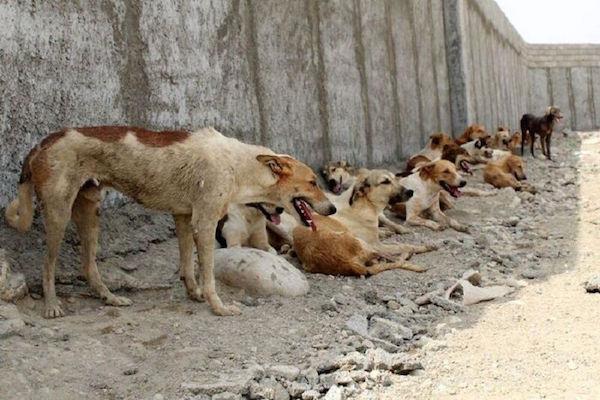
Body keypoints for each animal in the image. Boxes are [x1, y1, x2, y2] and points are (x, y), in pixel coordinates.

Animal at [2, 126, 336, 318]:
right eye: (312, 182)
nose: (333, 208)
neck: (238, 165)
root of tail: (42, 144)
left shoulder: (184, 217)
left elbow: (188, 267)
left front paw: (194, 295)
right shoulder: (204, 221)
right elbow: (208, 275)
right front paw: (218, 307)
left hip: (89, 213)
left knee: (88, 266)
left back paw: (110, 299)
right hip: (58, 215)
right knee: (47, 265)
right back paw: (51, 306)